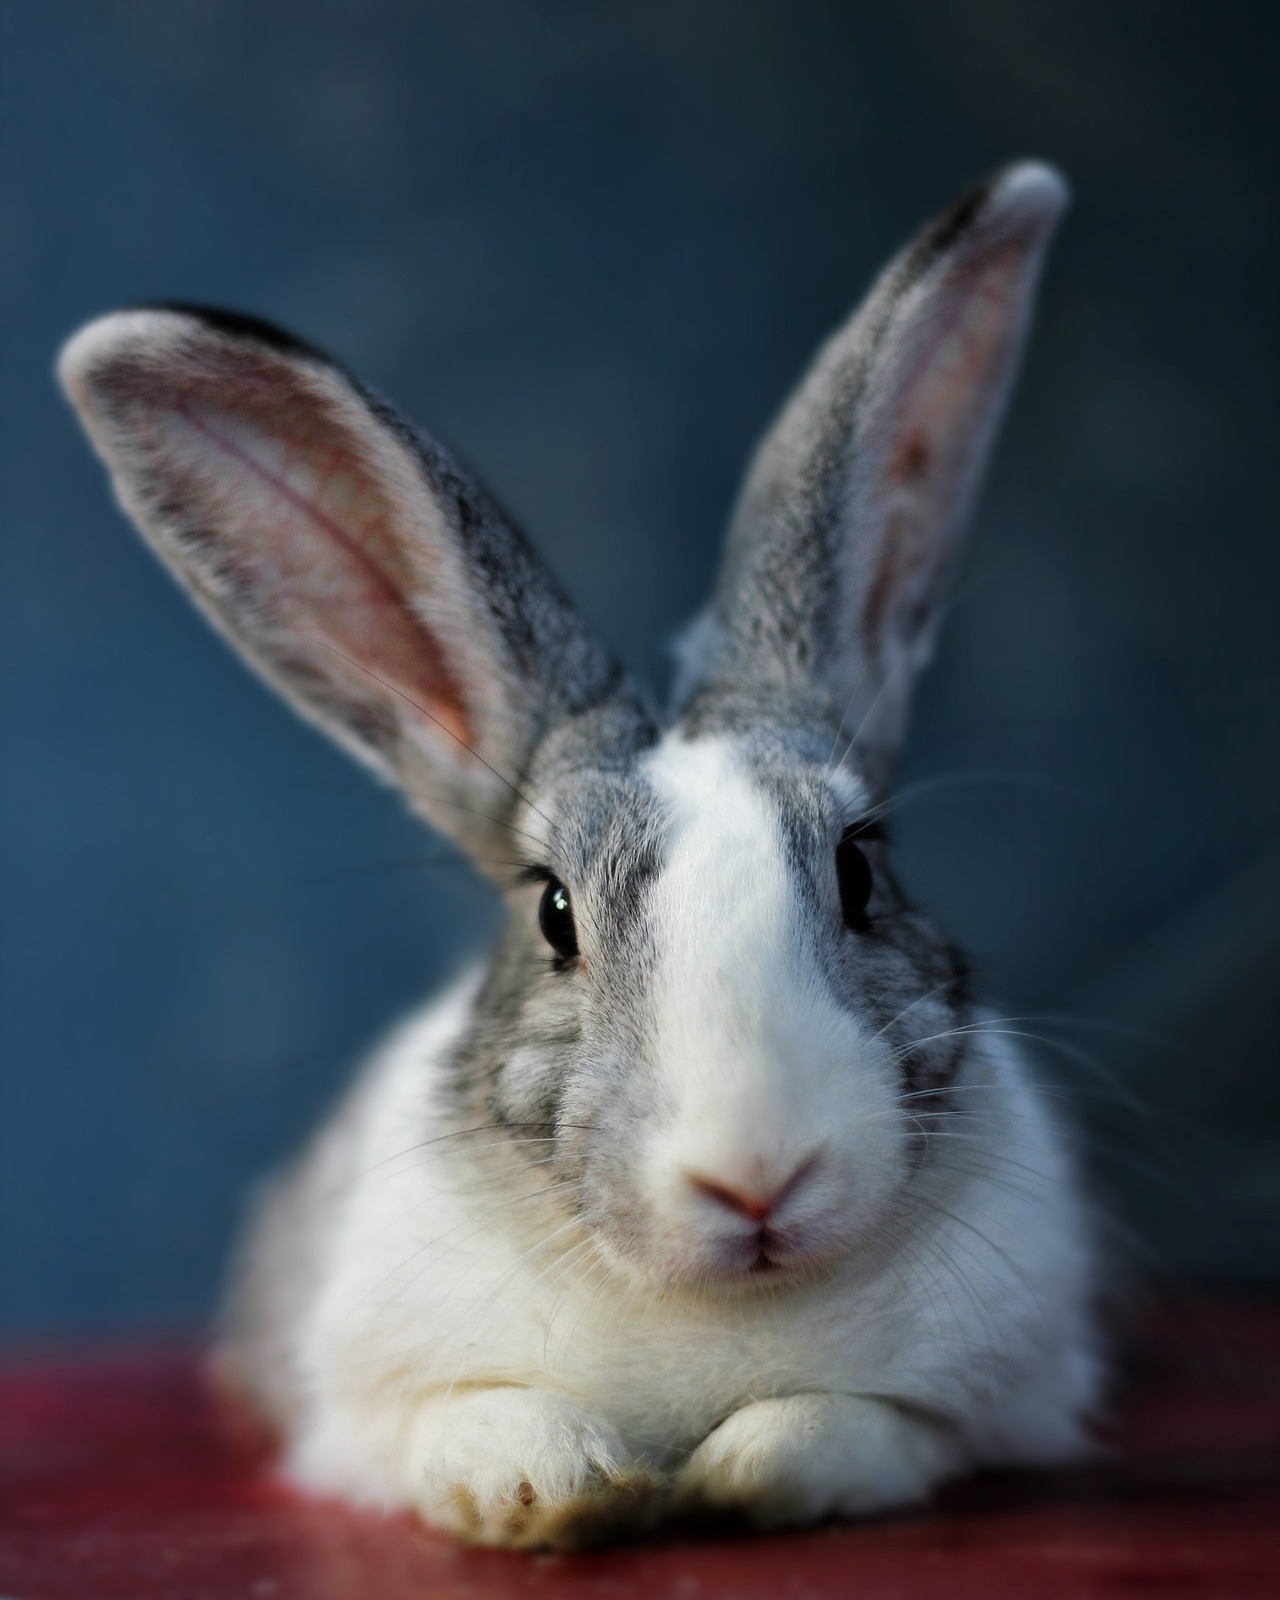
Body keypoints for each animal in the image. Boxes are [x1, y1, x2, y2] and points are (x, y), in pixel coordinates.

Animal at [58, 160, 1102, 1550]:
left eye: (860, 870)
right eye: (554, 913)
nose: (756, 1175)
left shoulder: (984, 1407)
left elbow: (849, 1428)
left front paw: (739, 1469)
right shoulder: (361, 1414)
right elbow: (473, 1424)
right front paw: (562, 1487)